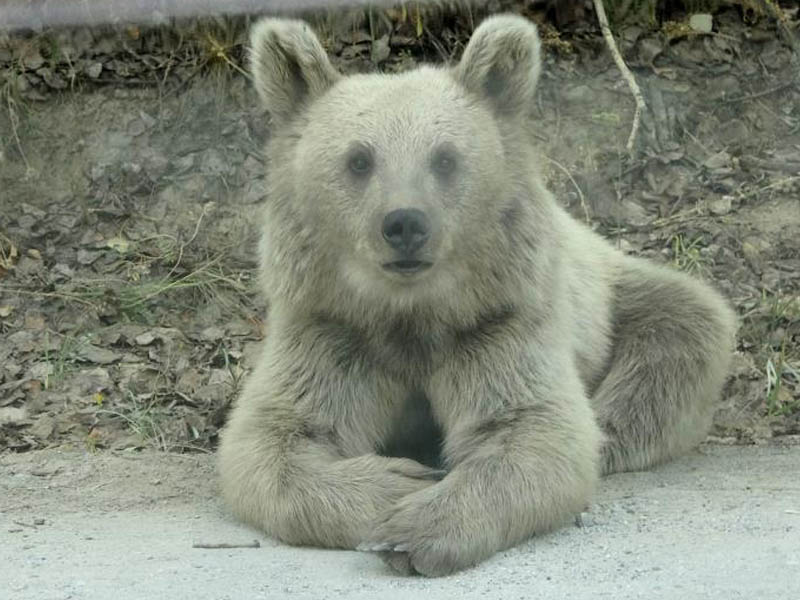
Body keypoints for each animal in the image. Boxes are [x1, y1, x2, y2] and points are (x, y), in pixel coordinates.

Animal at [217, 12, 736, 576]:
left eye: (446, 159)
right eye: (358, 160)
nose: (404, 223)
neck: (410, 311)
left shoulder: (498, 320)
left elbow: (533, 428)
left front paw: (415, 529)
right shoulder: (332, 328)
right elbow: (272, 436)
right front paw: (396, 483)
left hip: (613, 293)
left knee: (680, 331)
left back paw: (613, 427)